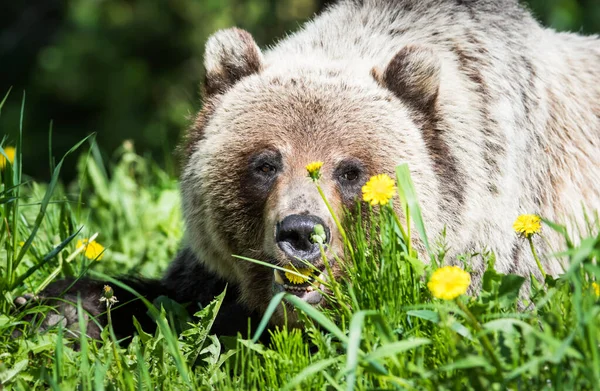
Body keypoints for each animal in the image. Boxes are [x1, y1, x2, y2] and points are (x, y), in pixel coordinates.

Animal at [15, 0, 600, 338]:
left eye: (350, 170)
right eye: (265, 161)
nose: (301, 233)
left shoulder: (505, 245)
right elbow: (169, 293)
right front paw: (57, 310)